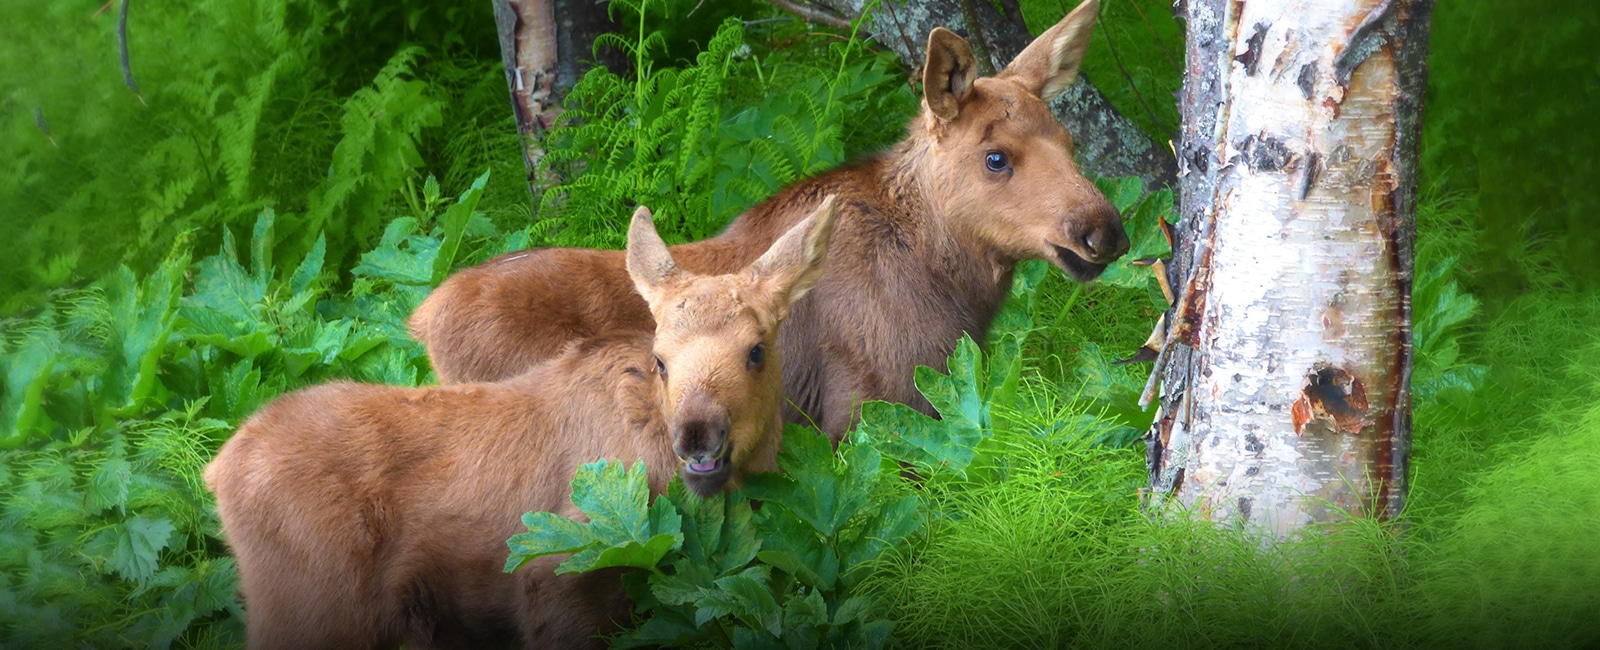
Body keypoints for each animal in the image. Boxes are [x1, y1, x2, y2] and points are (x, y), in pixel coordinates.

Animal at [203, 197, 839, 650]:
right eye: (660, 358)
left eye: (756, 350)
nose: (698, 435)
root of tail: (217, 472)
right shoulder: (558, 579)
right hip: (313, 614)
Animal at [408, 0, 1127, 442]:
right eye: (996, 157)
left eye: (1069, 141)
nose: (1105, 230)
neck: (958, 291)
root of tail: (419, 319)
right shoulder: (872, 409)